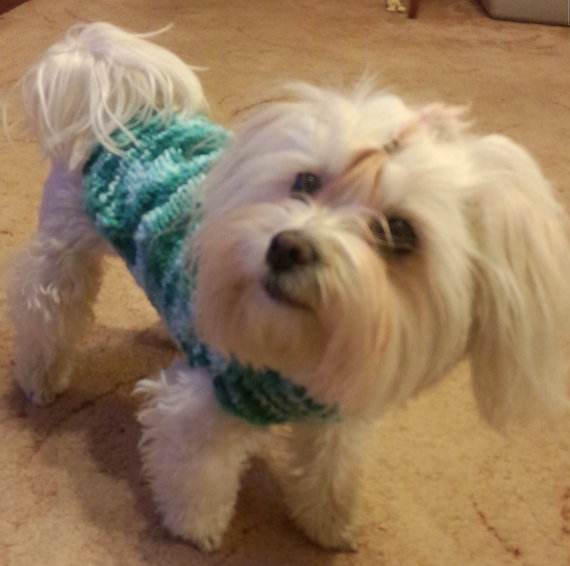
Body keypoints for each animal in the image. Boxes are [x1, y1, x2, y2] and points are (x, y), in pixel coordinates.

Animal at [5, 22, 570, 552]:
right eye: (306, 182)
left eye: (399, 232)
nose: (288, 247)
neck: (301, 350)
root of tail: (124, 103)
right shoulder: (202, 408)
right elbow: (198, 477)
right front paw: (196, 530)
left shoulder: (336, 420)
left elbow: (330, 476)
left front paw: (329, 526)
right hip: (63, 256)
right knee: (43, 309)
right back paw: (41, 378)